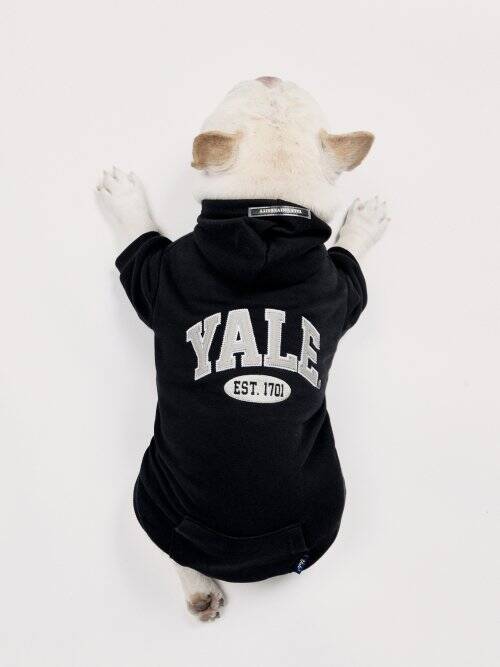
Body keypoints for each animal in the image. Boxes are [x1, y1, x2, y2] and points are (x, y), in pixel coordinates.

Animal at [97, 76, 388, 621]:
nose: (271, 74)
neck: (265, 215)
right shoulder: (342, 290)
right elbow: (347, 257)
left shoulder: (157, 274)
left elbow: (138, 240)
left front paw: (122, 197)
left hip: (151, 488)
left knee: (169, 545)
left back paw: (198, 590)